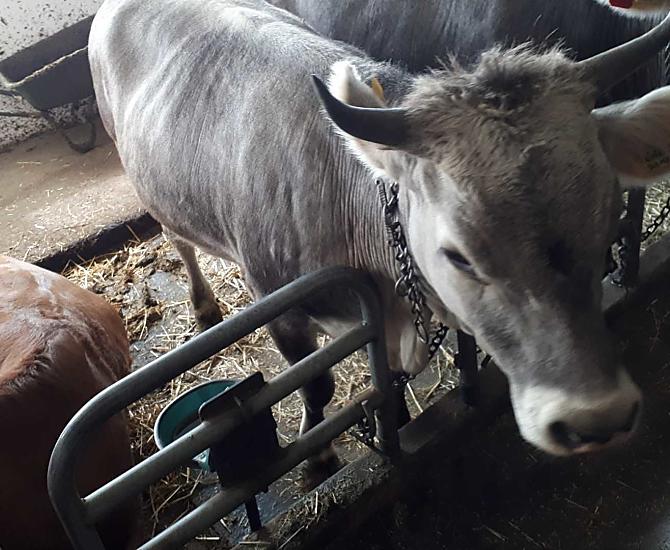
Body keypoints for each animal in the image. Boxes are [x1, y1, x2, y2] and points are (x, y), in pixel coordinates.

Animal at [89, 0, 670, 473]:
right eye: (458, 256)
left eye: (608, 214)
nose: (596, 418)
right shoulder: (279, 304)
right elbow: (316, 386)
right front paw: (319, 454)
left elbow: (386, 382)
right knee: (178, 238)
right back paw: (205, 305)